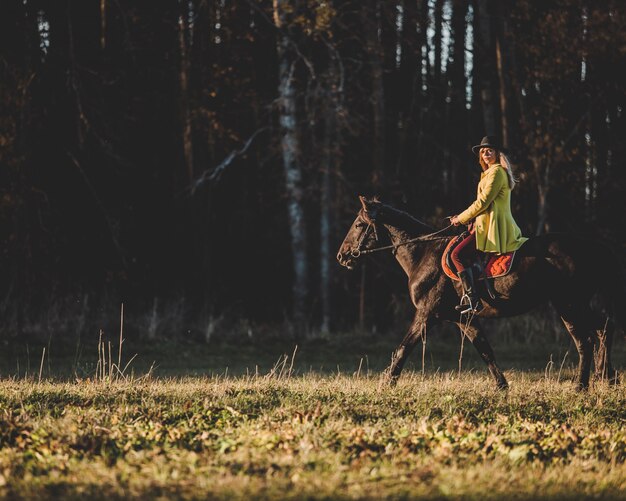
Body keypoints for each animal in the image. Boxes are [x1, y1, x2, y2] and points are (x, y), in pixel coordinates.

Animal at [338, 195, 620, 386]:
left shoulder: (426, 314)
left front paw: (387, 383)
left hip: (569, 304)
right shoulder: (464, 319)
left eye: (359, 224)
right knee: (604, 328)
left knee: (586, 340)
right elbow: (485, 350)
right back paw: (606, 377)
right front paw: (502, 386)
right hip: (576, 304)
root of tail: (597, 248)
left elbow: (403, 348)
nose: (342, 256)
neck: (423, 254)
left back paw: (582, 386)